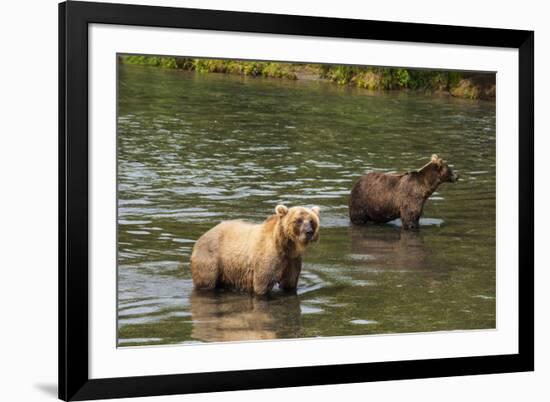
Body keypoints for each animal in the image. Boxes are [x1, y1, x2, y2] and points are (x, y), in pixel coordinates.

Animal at [191, 206, 322, 294]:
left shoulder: (292, 260)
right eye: (298, 220)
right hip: (211, 258)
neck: (286, 246)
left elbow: (290, 283)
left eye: (312, 221)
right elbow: (262, 284)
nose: (309, 232)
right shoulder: (268, 258)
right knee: (206, 281)